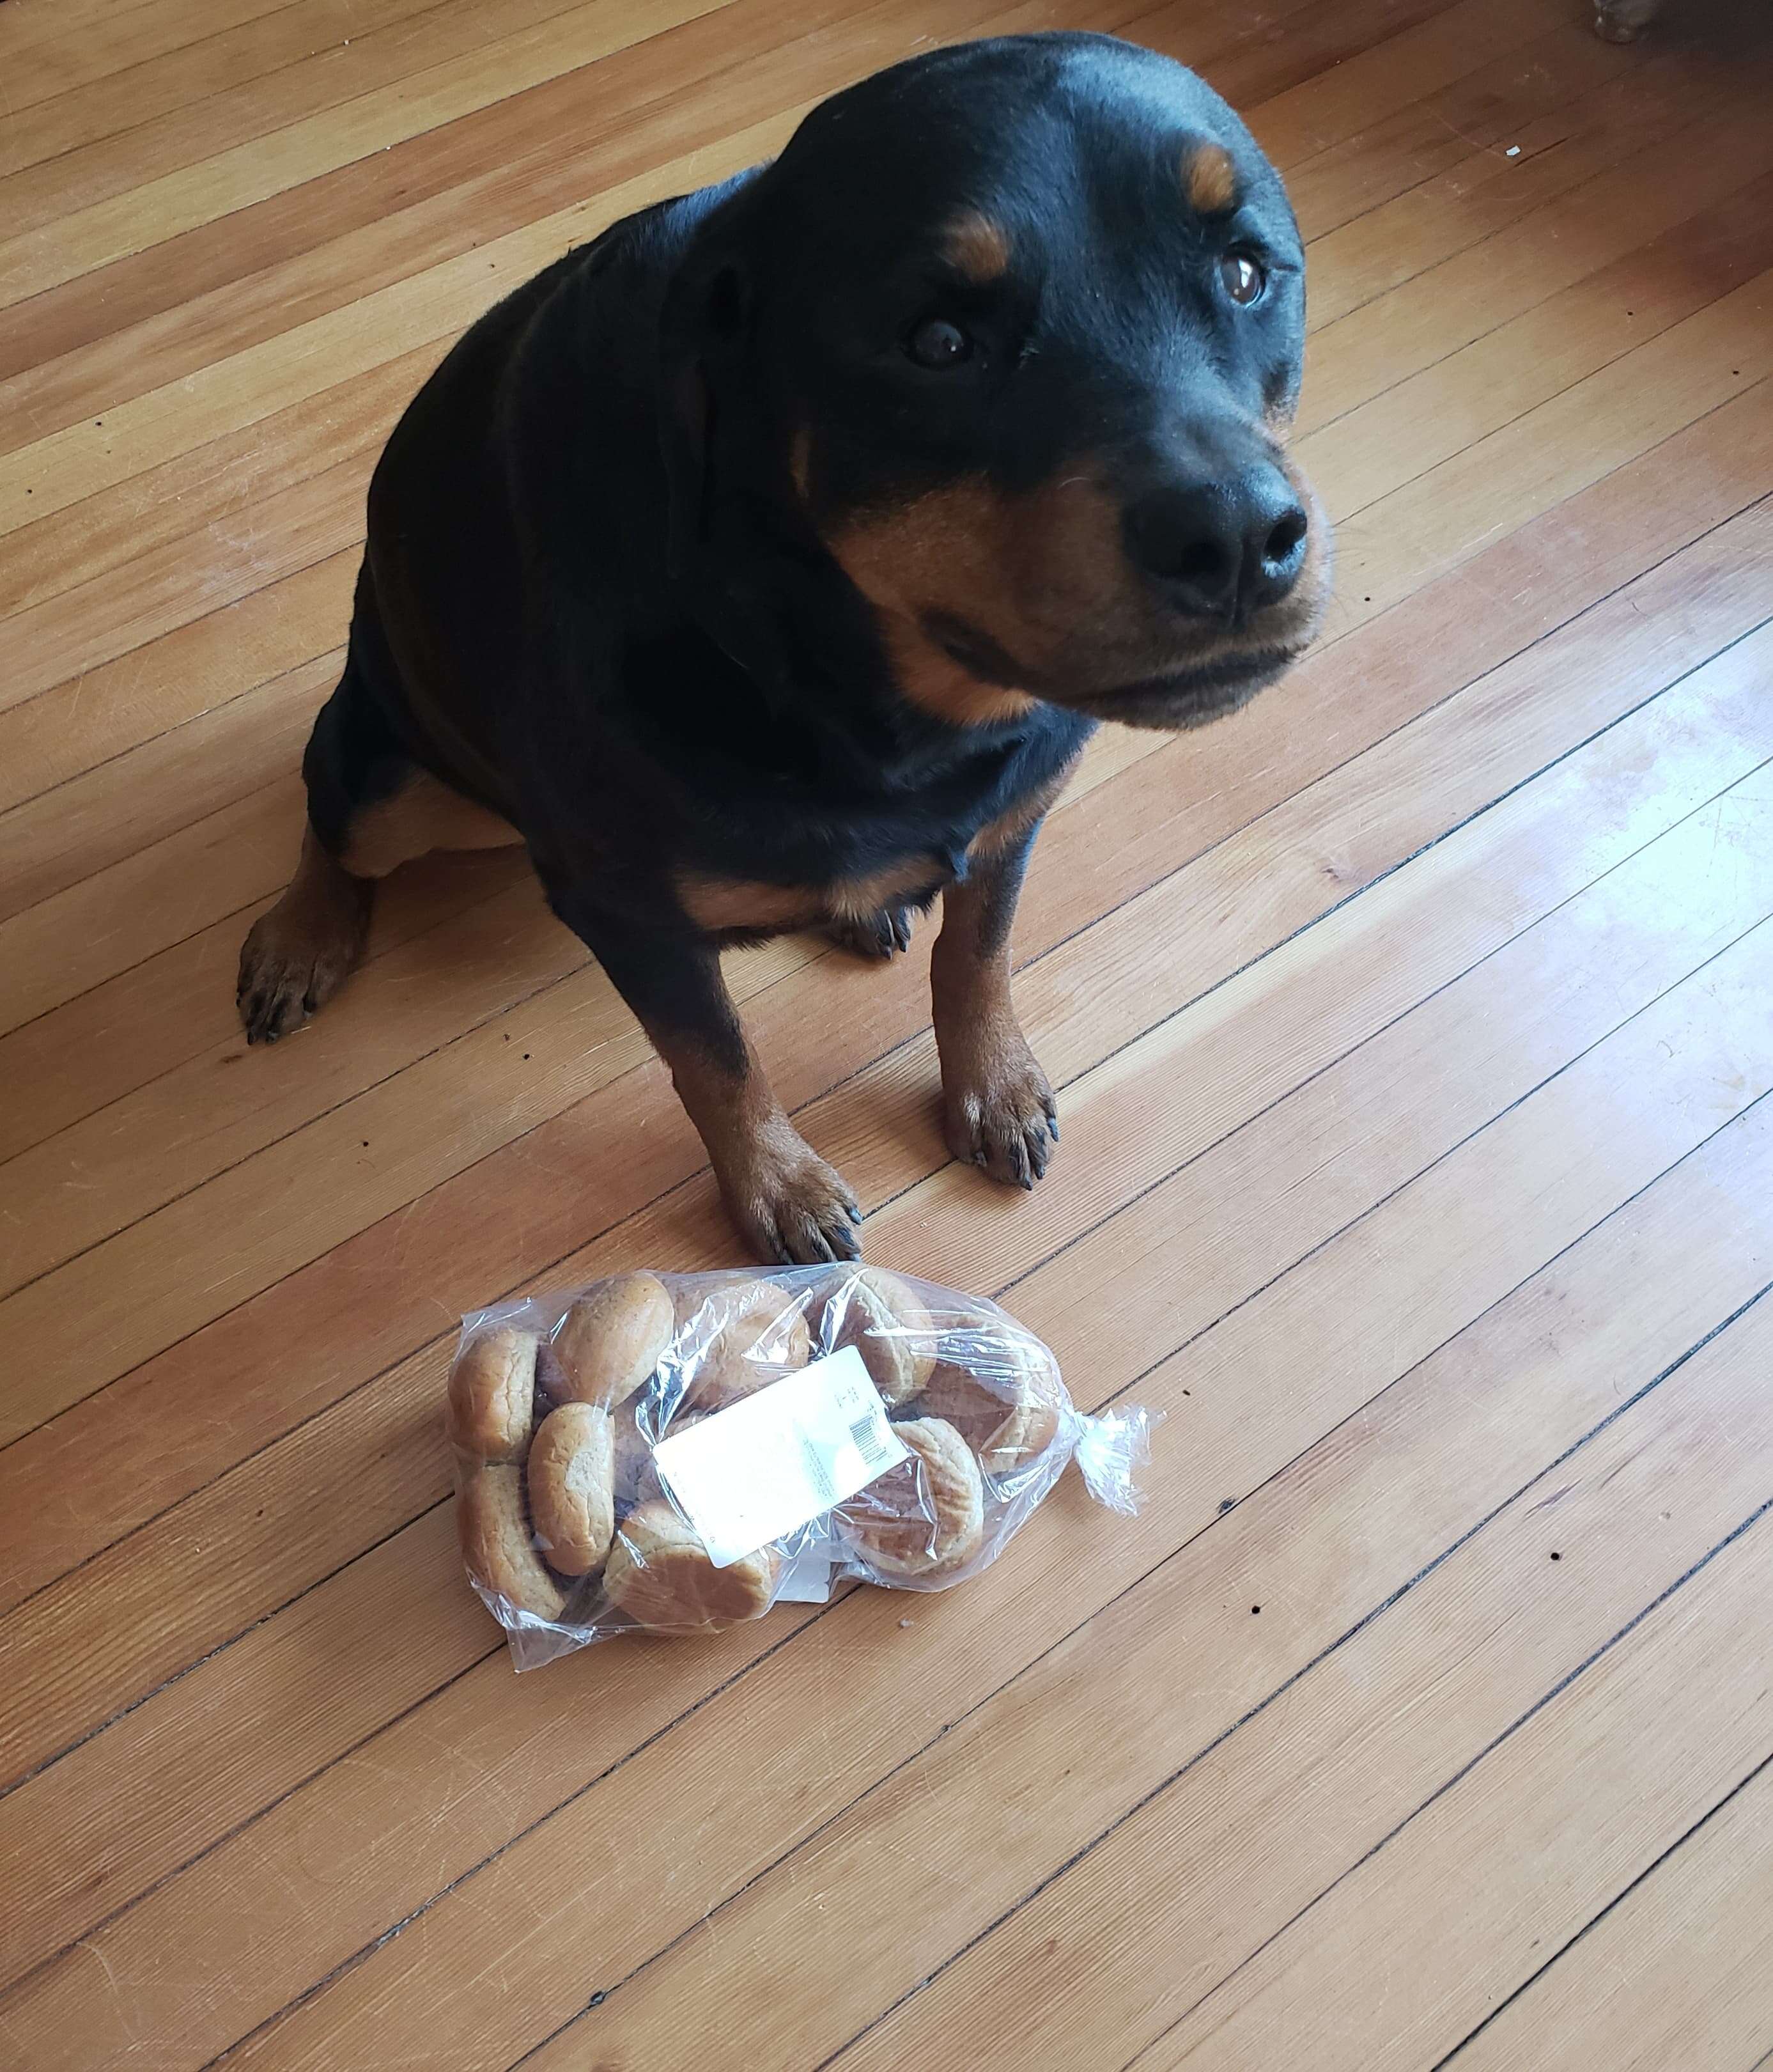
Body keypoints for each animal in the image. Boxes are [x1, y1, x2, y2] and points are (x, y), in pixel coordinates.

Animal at [235, 28, 1326, 1259]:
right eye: (937, 342)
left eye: (1245, 274)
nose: (1235, 537)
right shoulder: (625, 914)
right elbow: (715, 1060)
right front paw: (775, 1185)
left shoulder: (1012, 816)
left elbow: (978, 956)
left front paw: (991, 1085)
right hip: (403, 775)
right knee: (331, 811)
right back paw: (300, 937)